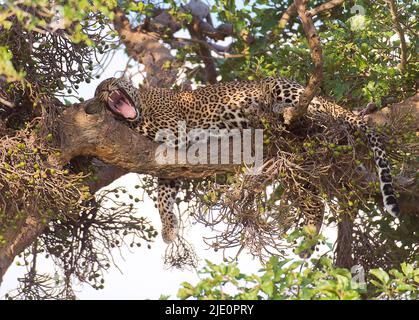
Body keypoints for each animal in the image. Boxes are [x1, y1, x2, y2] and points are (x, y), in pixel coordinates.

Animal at [94, 77, 400, 248]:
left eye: (111, 82)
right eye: (99, 91)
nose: (107, 88)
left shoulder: (172, 130)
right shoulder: (169, 164)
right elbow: (163, 195)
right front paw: (169, 228)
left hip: (280, 86)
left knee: (313, 110)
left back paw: (279, 109)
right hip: (294, 164)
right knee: (316, 202)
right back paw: (308, 242)